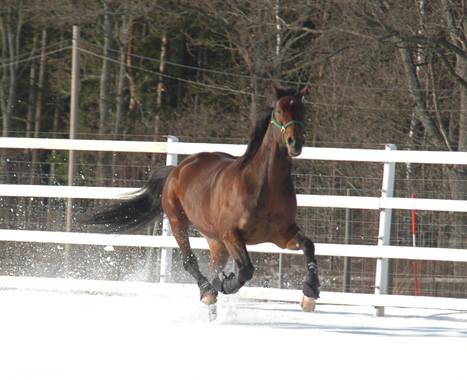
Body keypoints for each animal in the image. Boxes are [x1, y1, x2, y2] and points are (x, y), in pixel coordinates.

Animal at [87, 85, 320, 312]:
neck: (263, 186)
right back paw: (208, 291)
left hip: (215, 241)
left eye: (303, 110)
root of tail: (177, 170)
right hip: (178, 223)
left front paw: (310, 294)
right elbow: (245, 270)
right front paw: (224, 284)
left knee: (214, 265)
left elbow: (309, 246)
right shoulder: (231, 234)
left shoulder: (281, 234)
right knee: (189, 261)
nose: (295, 143)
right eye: (279, 111)